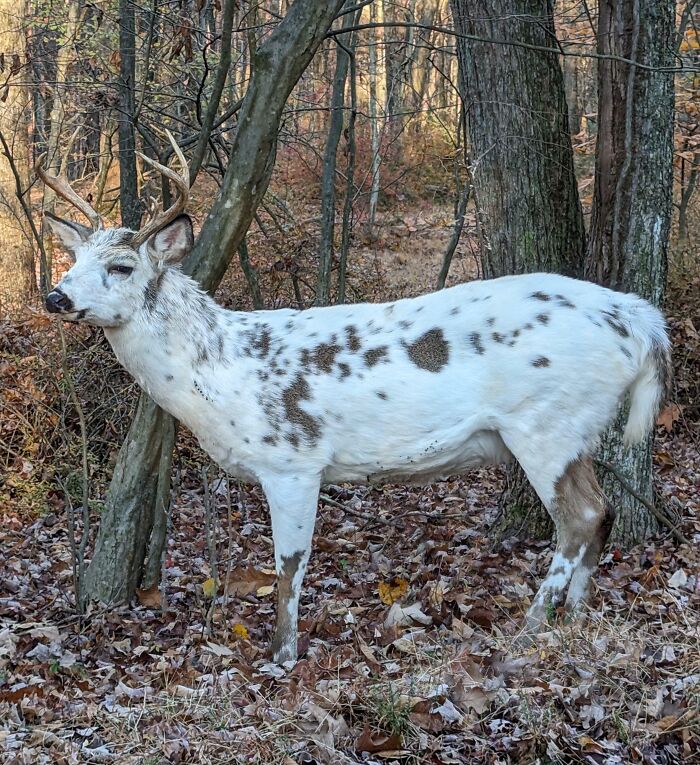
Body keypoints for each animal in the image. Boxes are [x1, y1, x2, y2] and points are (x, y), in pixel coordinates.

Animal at [39, 136, 672, 664]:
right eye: (73, 260)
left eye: (122, 266)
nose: (55, 297)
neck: (221, 373)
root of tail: (639, 320)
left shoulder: (293, 459)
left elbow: (288, 566)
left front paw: (281, 656)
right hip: (571, 427)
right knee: (603, 511)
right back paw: (576, 618)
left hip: (545, 421)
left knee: (579, 517)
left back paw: (531, 629)